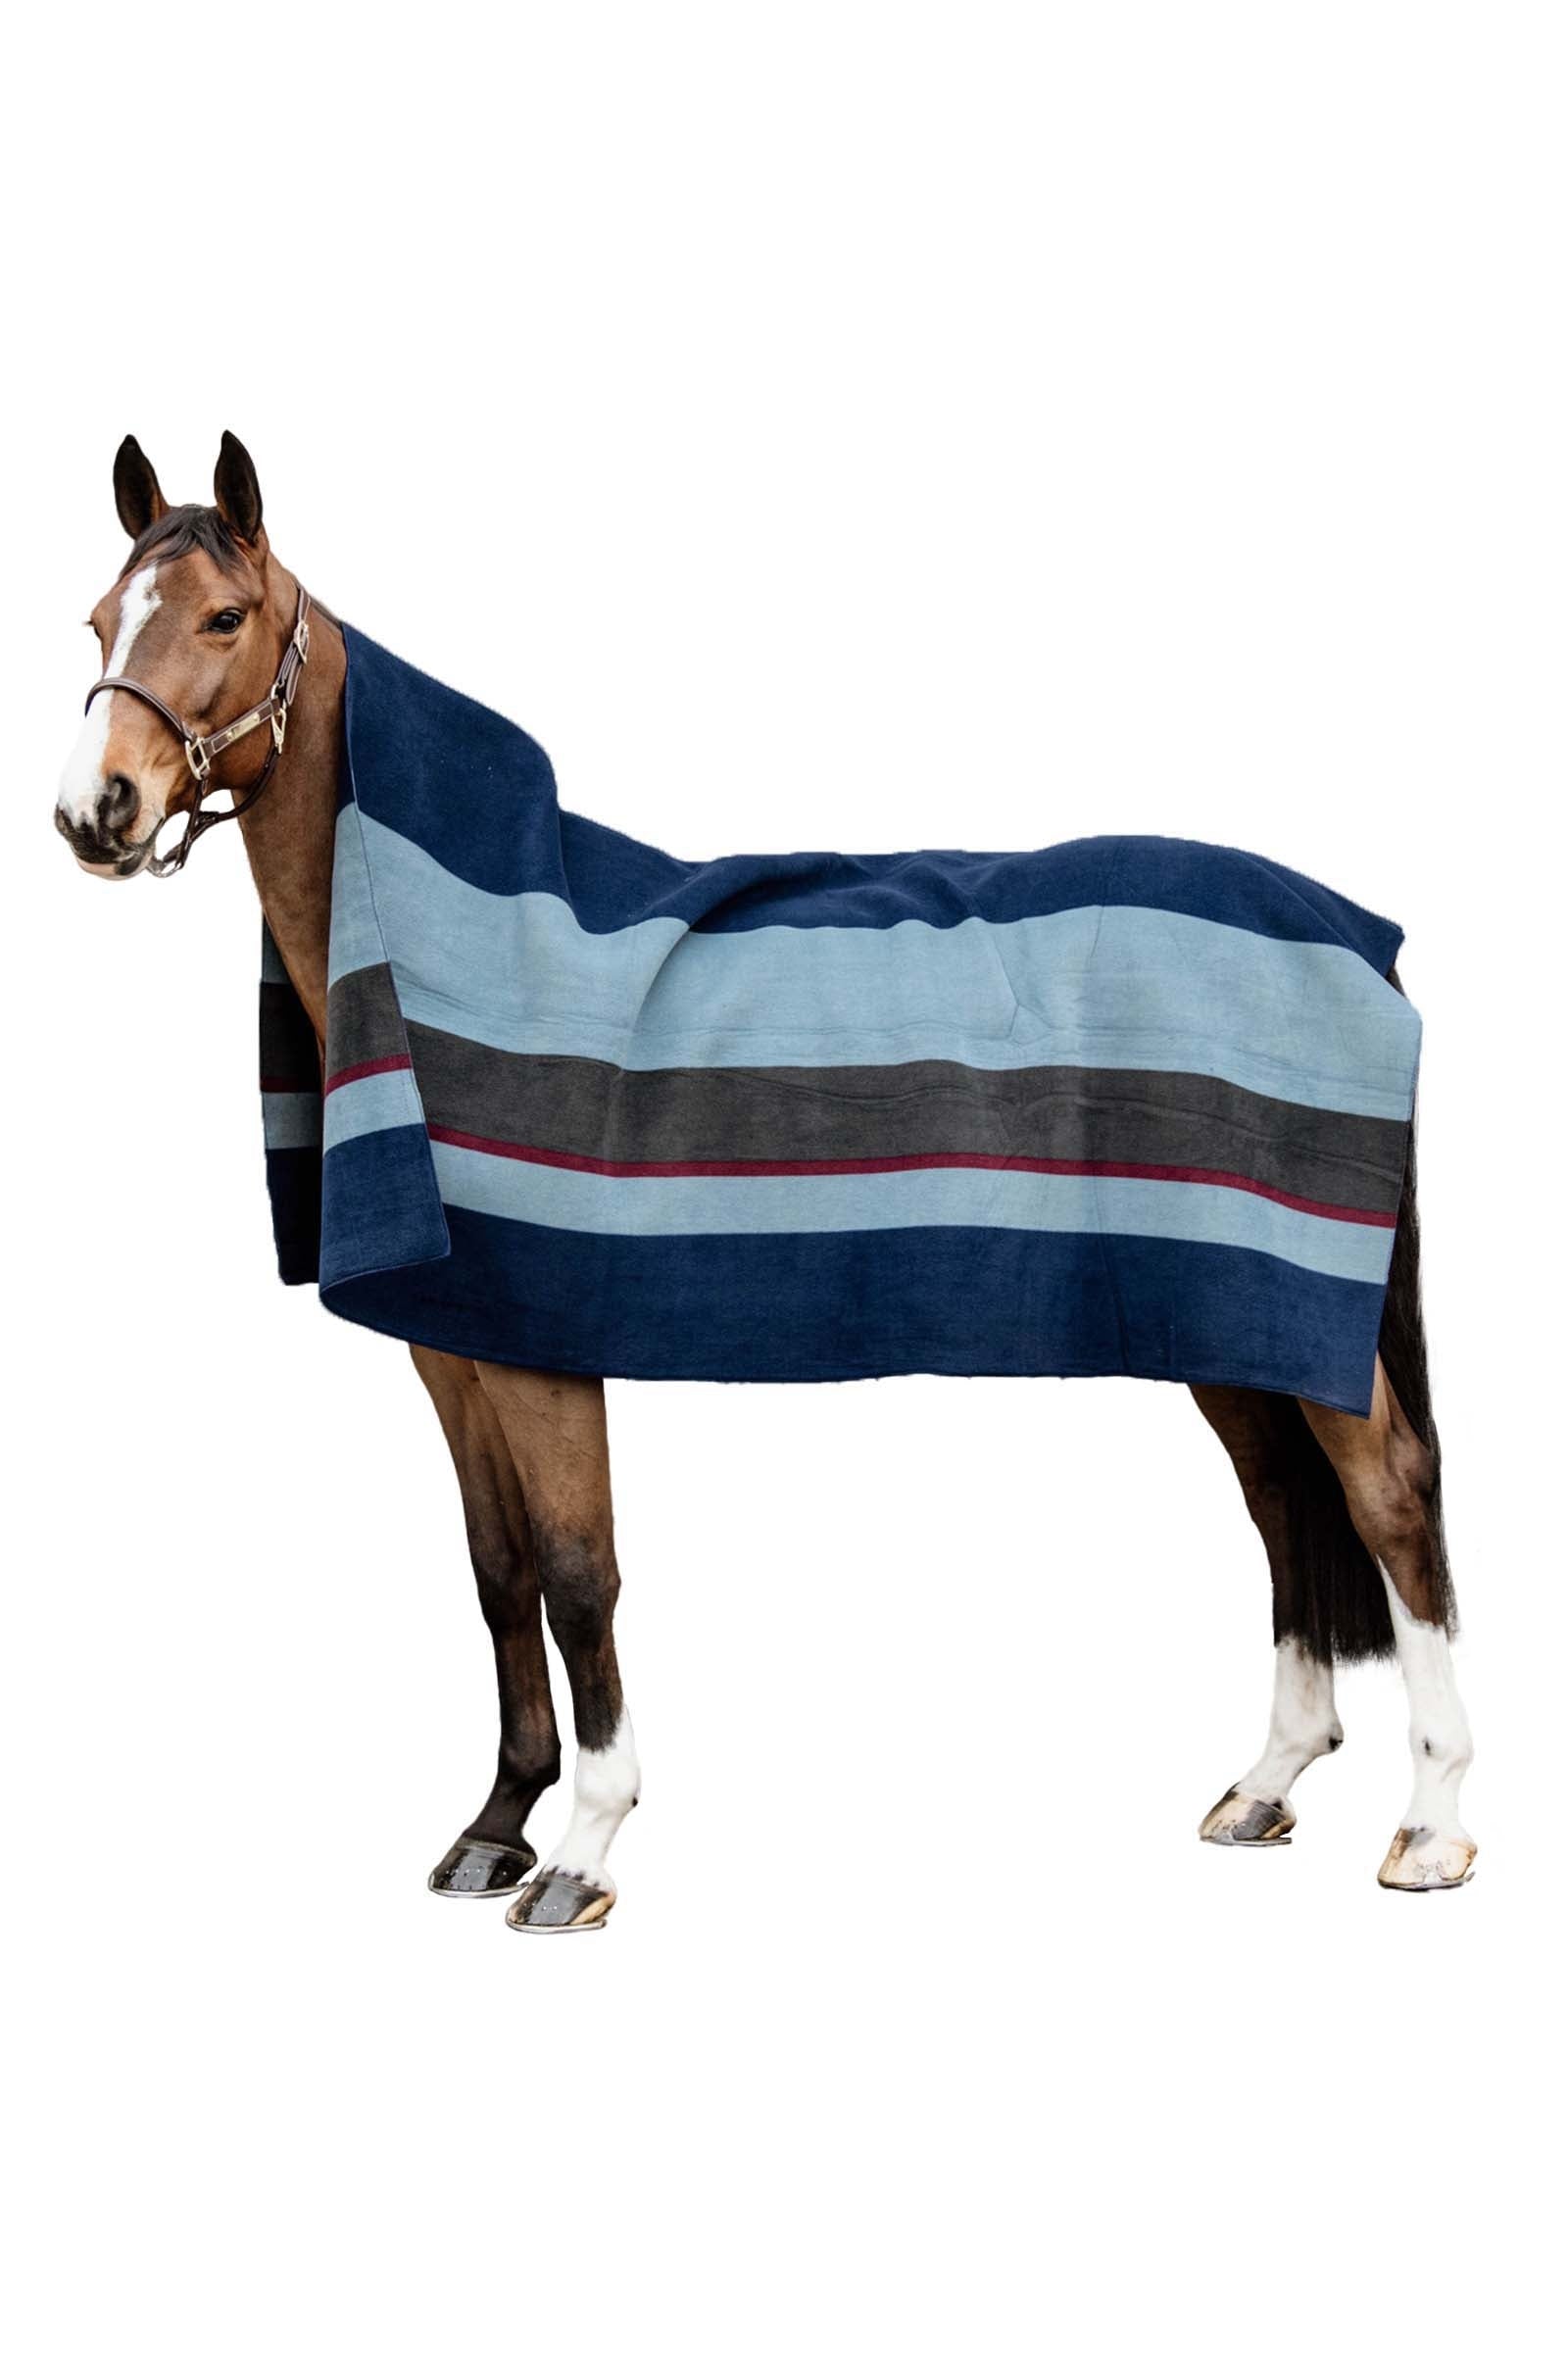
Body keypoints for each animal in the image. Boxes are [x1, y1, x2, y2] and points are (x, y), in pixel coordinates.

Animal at [53, 431, 1476, 1929]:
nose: (97, 811)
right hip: (1224, 1318)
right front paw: (495, 1825)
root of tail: (1358, 932)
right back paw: (1267, 1782)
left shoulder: (547, 1349)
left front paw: (581, 1850)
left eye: (223, 618)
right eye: (97, 624)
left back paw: (1434, 1822)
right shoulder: (454, 1348)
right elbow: (499, 1573)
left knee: (1389, 1494)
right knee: (1284, 1505)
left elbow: (580, 1575)